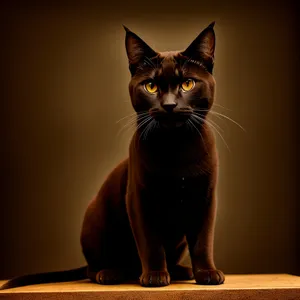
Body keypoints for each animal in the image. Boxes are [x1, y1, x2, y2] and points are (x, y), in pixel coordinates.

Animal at [0, 22, 225, 290]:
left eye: (188, 84)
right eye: (151, 86)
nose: (169, 105)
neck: (176, 148)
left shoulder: (206, 199)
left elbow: (202, 241)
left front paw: (207, 273)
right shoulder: (139, 199)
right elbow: (151, 242)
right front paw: (155, 276)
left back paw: (181, 271)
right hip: (94, 217)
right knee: (93, 268)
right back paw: (111, 273)